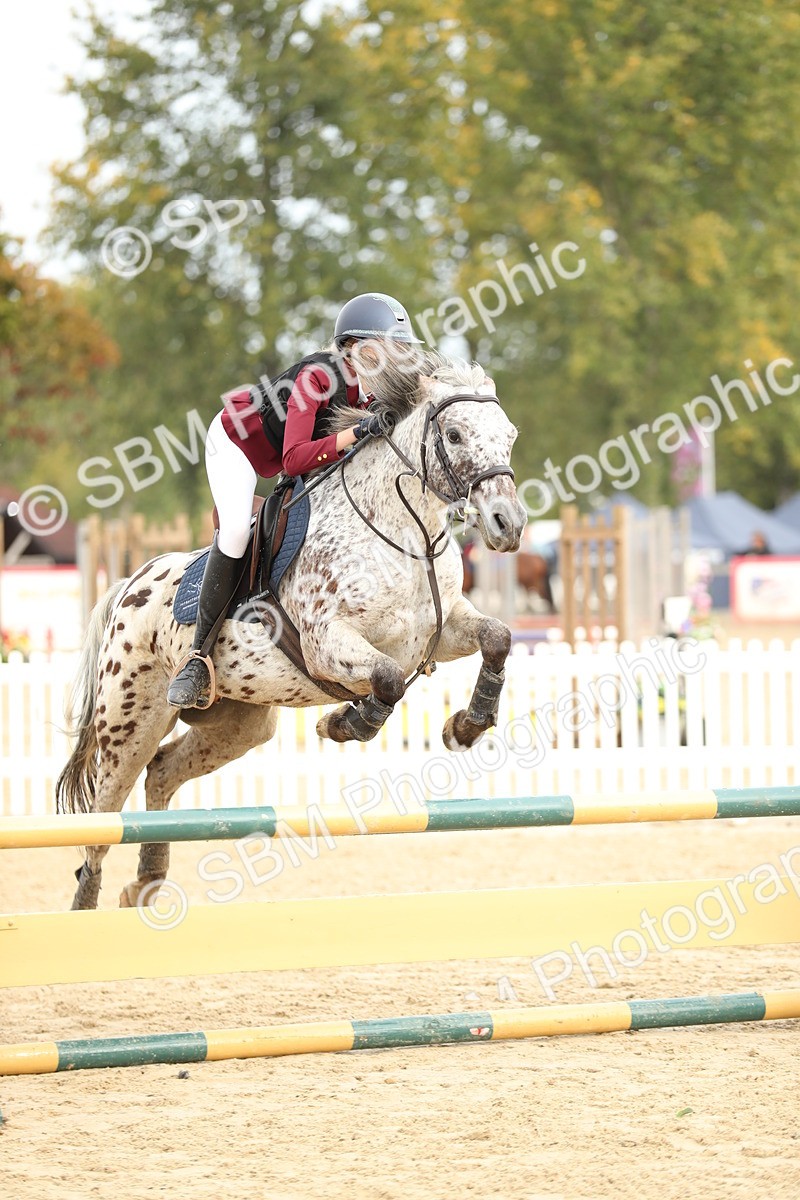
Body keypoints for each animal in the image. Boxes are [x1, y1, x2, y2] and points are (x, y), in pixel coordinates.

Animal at [57, 358, 527, 910]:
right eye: (453, 435)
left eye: (511, 436)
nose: (508, 524)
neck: (403, 535)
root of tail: (129, 585)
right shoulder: (326, 642)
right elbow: (388, 679)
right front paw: (344, 724)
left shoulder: (442, 628)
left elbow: (497, 637)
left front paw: (466, 727)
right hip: (129, 724)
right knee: (101, 821)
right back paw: (87, 906)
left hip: (241, 725)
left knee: (163, 772)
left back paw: (147, 881)